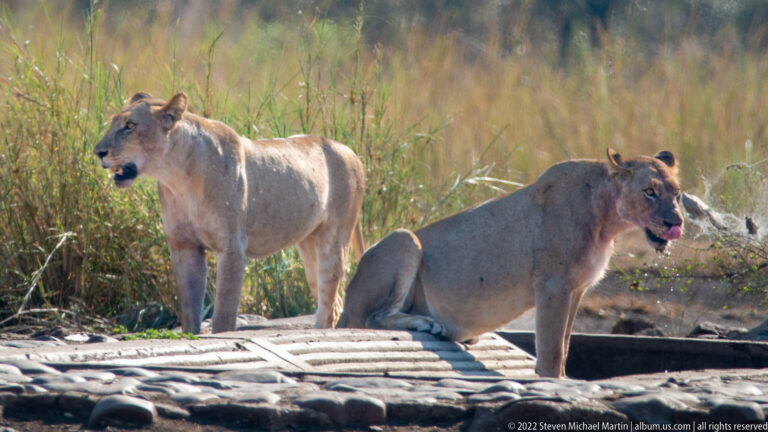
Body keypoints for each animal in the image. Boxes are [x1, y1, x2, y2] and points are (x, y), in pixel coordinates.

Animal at [94, 92, 365, 334]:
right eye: (114, 123)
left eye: (130, 126)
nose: (98, 152)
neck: (177, 178)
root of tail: (350, 151)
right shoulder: (183, 246)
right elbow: (189, 308)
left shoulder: (232, 246)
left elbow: (224, 311)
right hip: (308, 244)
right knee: (332, 299)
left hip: (333, 239)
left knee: (329, 297)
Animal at [338, 149, 684, 378]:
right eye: (649, 192)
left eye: (677, 195)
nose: (675, 222)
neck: (607, 222)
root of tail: (344, 310)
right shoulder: (553, 284)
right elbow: (551, 347)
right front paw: (552, 381)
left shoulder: (578, 289)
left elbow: (565, 345)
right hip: (404, 239)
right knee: (372, 317)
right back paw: (428, 323)